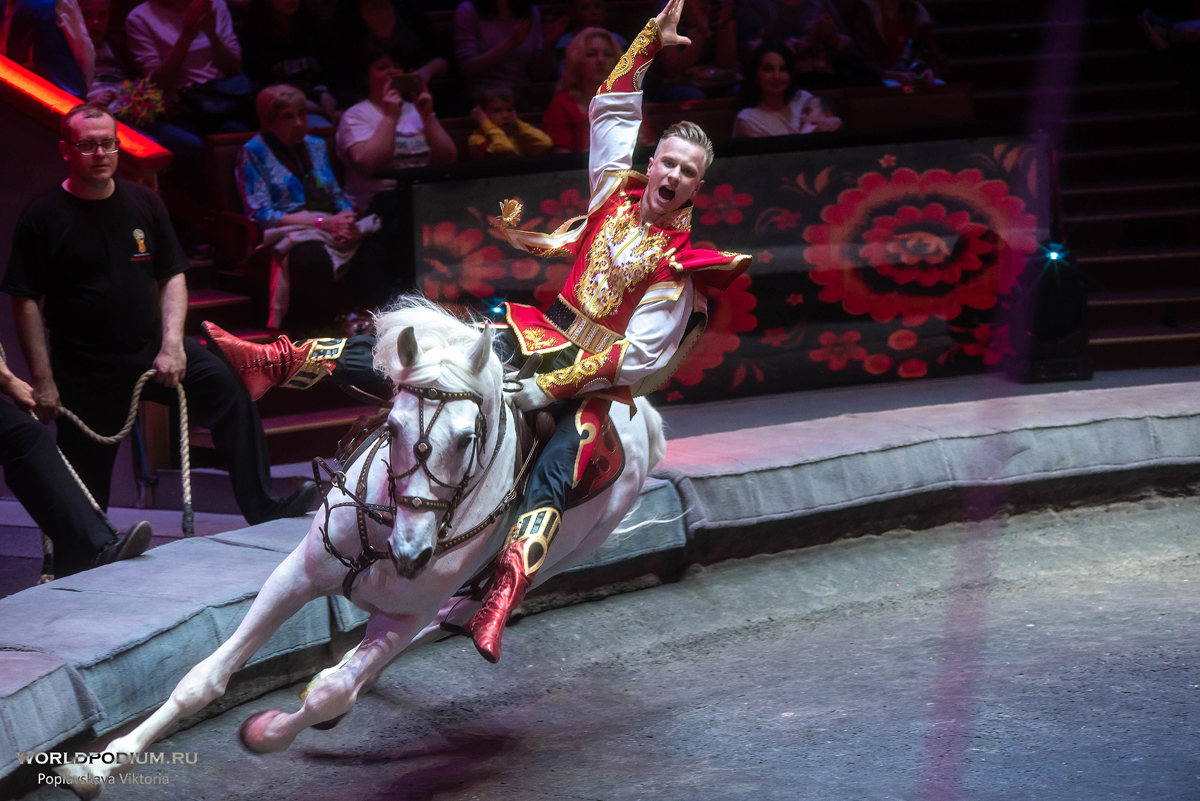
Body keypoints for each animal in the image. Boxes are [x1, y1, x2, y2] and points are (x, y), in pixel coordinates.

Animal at [55, 297, 666, 798]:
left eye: (468, 437)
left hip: (554, 557)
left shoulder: (404, 612)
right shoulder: (296, 575)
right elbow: (202, 679)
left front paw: (270, 730)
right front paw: (98, 767)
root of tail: (644, 420)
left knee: (453, 616)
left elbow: (331, 692)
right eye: (391, 428)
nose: (413, 555)